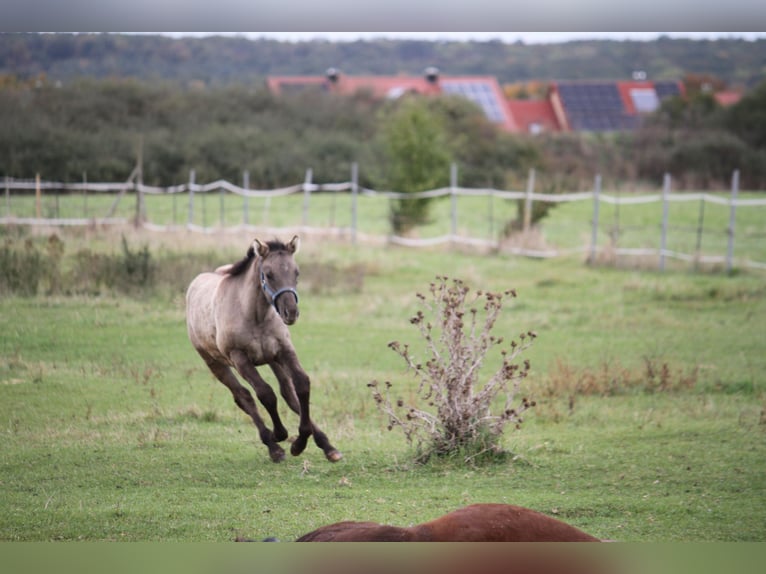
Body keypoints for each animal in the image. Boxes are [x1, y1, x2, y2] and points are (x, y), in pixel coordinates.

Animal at [186, 236, 342, 466]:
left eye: (296, 272)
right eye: (268, 274)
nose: (291, 313)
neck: (255, 315)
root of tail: (195, 283)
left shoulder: (283, 350)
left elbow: (302, 384)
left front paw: (301, 442)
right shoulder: (239, 358)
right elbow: (265, 393)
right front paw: (280, 435)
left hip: (271, 359)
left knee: (288, 393)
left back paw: (326, 446)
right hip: (215, 363)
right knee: (243, 397)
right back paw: (273, 446)